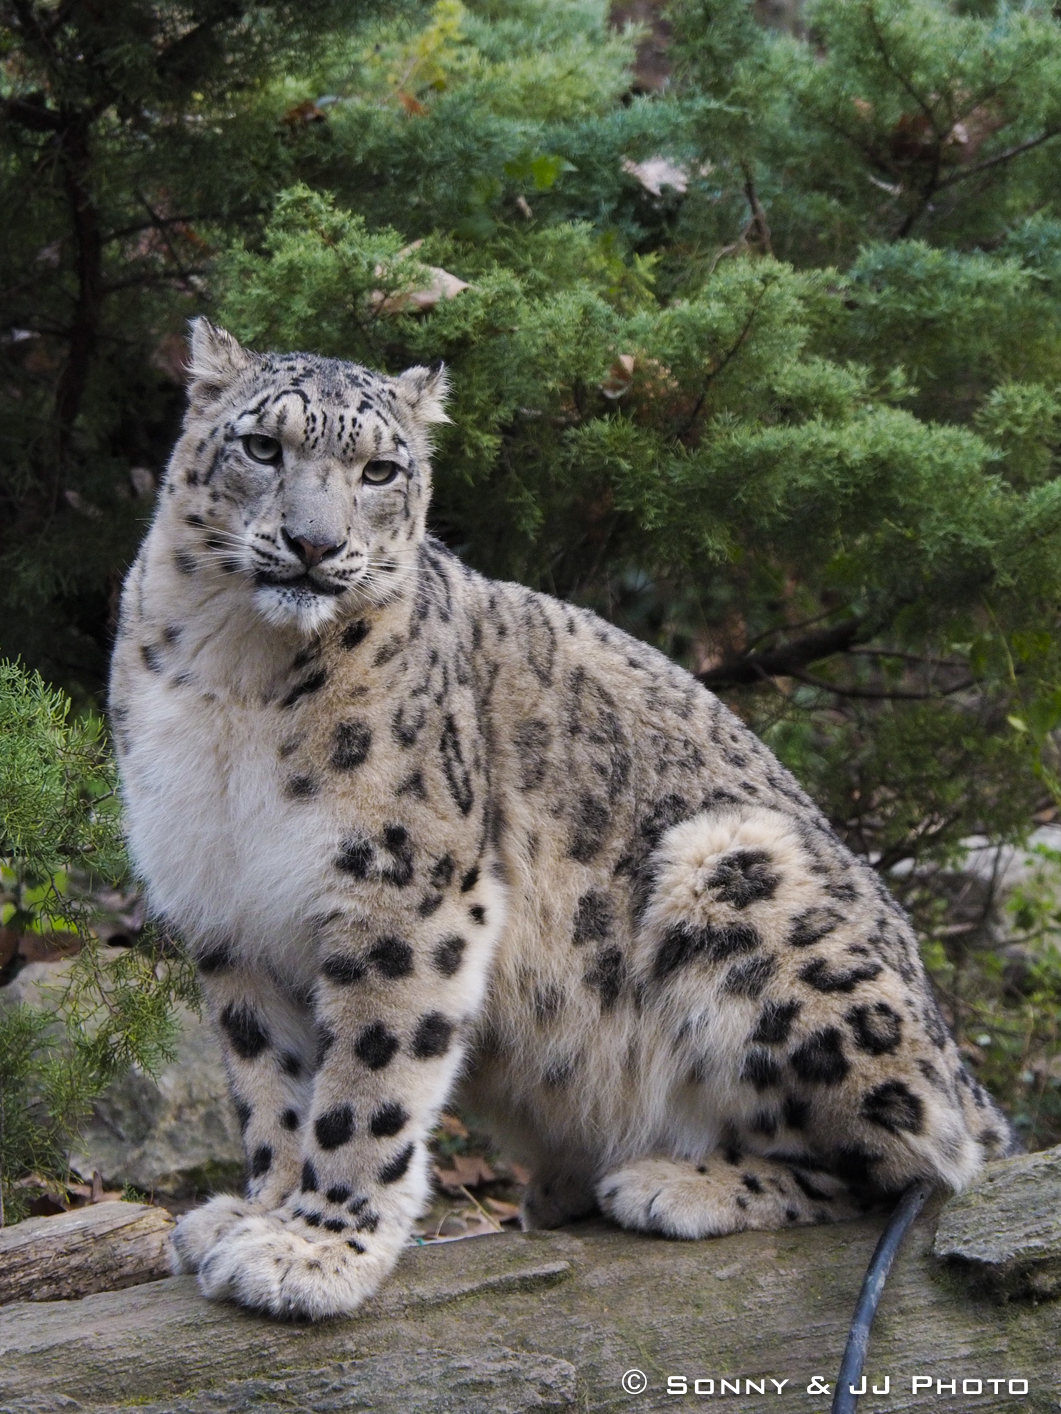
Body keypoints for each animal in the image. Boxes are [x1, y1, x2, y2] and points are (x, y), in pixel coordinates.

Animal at [109, 318, 1015, 1321]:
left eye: (381, 470)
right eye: (263, 447)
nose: (314, 544)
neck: (237, 673)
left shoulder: (401, 890)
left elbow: (366, 1082)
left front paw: (313, 1249)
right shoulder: (227, 909)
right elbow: (271, 1084)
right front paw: (259, 1210)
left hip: (737, 872)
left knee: (919, 1156)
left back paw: (674, 1182)